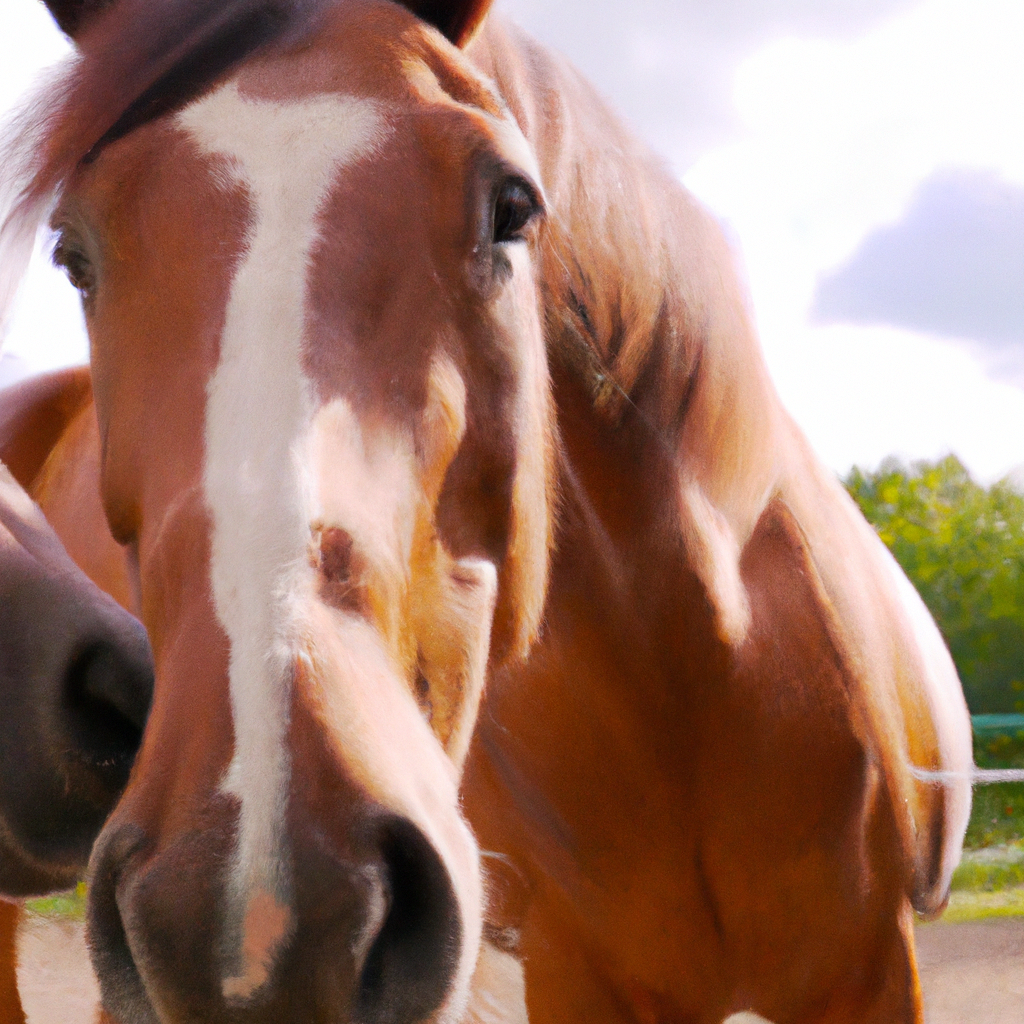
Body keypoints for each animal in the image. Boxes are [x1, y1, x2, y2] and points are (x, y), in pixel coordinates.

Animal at [2, 2, 974, 1024]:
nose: (258, 919)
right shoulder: (576, 979)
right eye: (73, 254)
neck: (703, 691)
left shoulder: (872, 969)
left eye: (512, 206)